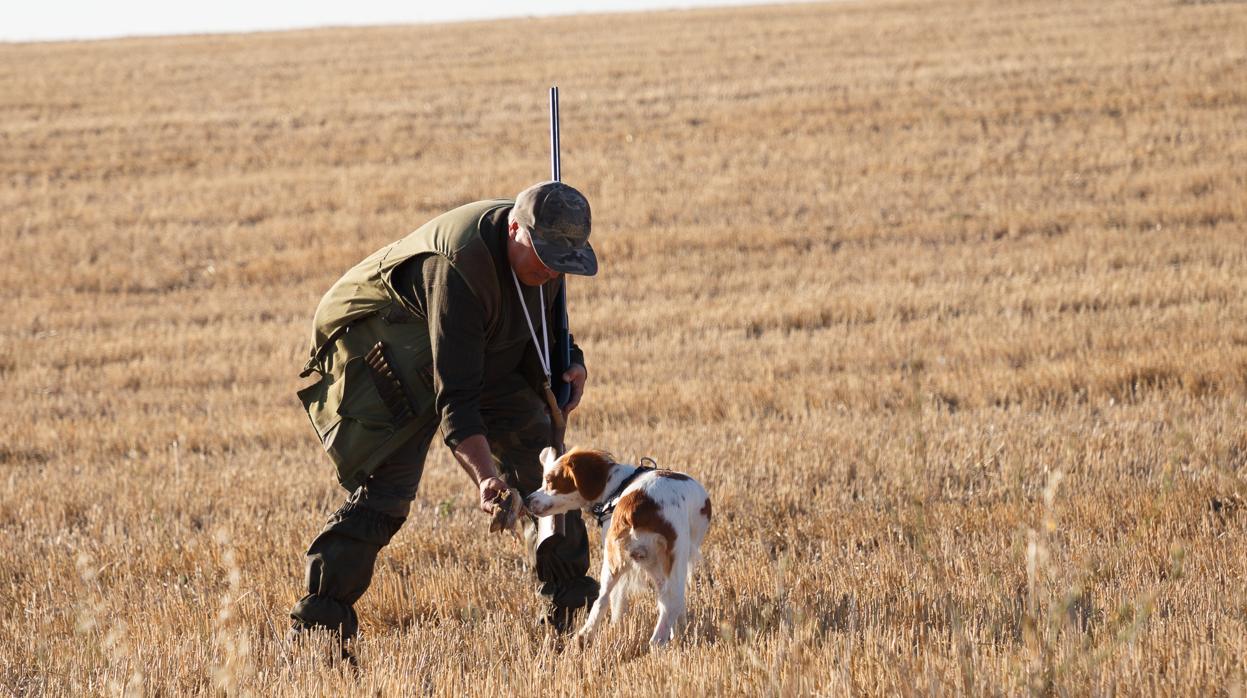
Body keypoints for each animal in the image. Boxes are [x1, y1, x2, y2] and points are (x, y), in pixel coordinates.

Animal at [523, 448, 713, 648]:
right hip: (672, 559)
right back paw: (658, 643)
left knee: (603, 598)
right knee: (671, 602)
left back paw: (585, 637)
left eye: (550, 480)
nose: (526, 500)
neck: (616, 487)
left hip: (615, 560)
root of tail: (638, 504)